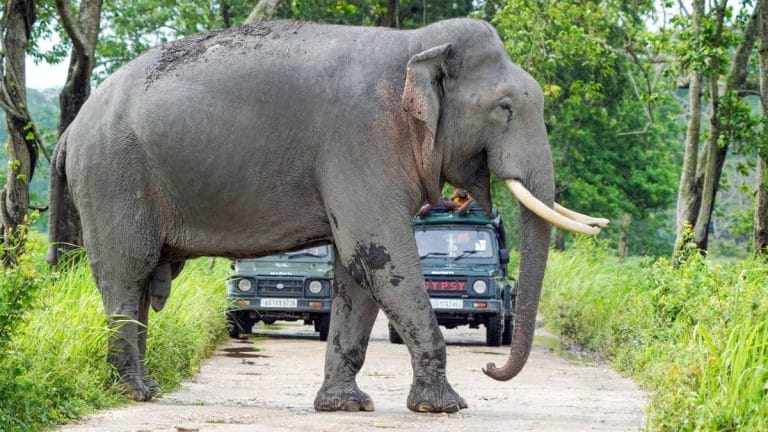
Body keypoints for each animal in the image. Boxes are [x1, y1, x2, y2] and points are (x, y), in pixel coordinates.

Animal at [47, 18, 608, 413]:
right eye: (505, 108)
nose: (491, 365)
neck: (415, 45)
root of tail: (70, 132)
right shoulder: (361, 140)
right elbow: (380, 257)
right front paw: (444, 407)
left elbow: (358, 270)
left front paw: (345, 406)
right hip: (113, 177)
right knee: (127, 272)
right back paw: (136, 393)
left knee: (140, 282)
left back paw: (147, 388)